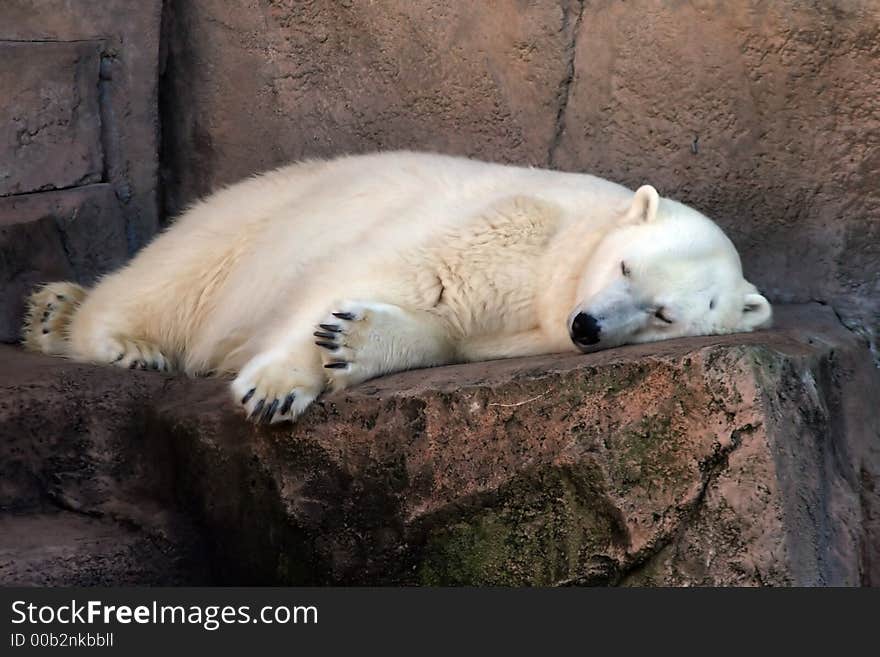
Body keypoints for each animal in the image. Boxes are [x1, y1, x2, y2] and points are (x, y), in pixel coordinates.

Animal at [20, 151, 768, 422]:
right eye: (625, 268)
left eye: (663, 314)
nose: (587, 327)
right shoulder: (517, 219)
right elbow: (405, 271)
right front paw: (276, 387)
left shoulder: (519, 327)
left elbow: (439, 326)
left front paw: (352, 340)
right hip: (250, 221)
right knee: (176, 277)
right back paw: (100, 333)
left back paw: (51, 313)